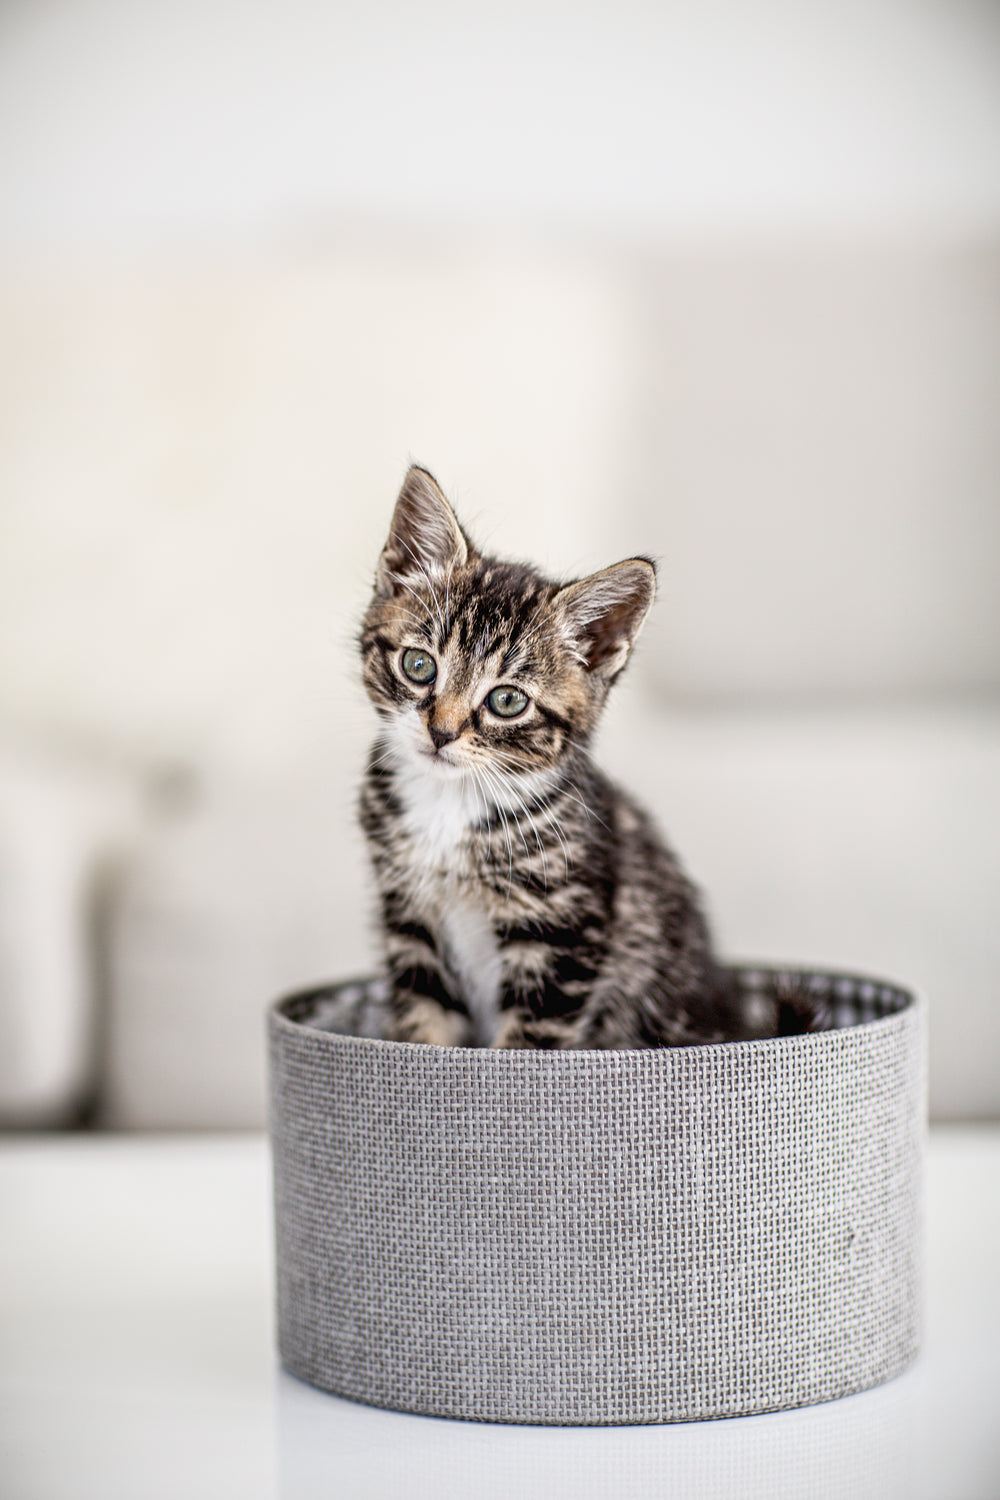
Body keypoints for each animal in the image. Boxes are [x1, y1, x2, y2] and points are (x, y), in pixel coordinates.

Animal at [359, 462, 743, 1050]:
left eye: (507, 701)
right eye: (419, 666)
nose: (441, 732)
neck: (449, 808)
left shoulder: (562, 942)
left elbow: (523, 1046)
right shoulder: (410, 926)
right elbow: (423, 1030)